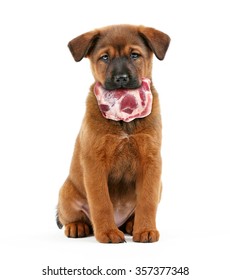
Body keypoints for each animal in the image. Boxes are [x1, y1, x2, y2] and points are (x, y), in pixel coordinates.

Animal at [56, 24, 170, 243]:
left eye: (134, 55)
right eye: (105, 57)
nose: (121, 79)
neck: (124, 121)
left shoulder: (151, 161)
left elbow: (147, 201)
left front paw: (145, 229)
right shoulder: (95, 163)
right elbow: (101, 203)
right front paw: (107, 232)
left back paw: (132, 225)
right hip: (66, 192)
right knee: (72, 217)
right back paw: (78, 226)